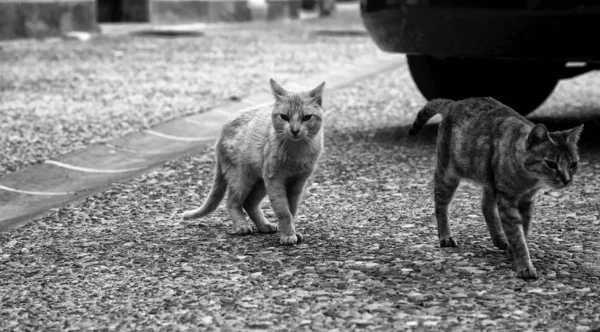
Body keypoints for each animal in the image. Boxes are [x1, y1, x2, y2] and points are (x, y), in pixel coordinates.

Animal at [182, 77, 326, 244]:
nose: (294, 131)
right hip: (242, 179)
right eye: (284, 117)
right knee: (232, 202)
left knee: (249, 203)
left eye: (306, 117)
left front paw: (293, 231)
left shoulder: (297, 183)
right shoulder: (275, 180)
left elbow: (292, 210)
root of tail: (222, 130)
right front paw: (288, 235)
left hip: (260, 182)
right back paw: (242, 225)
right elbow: (283, 210)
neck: (296, 151)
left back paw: (264, 226)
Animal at [410, 97, 584, 278]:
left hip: (490, 183)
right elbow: (517, 235)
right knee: (441, 205)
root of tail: (453, 103)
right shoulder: (507, 200)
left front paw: (515, 251)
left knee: (485, 206)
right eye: (551, 164)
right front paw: (524, 265)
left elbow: (524, 229)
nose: (567, 180)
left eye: (573, 164)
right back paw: (445, 236)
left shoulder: (527, 200)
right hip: (448, 175)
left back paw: (500, 239)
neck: (528, 180)